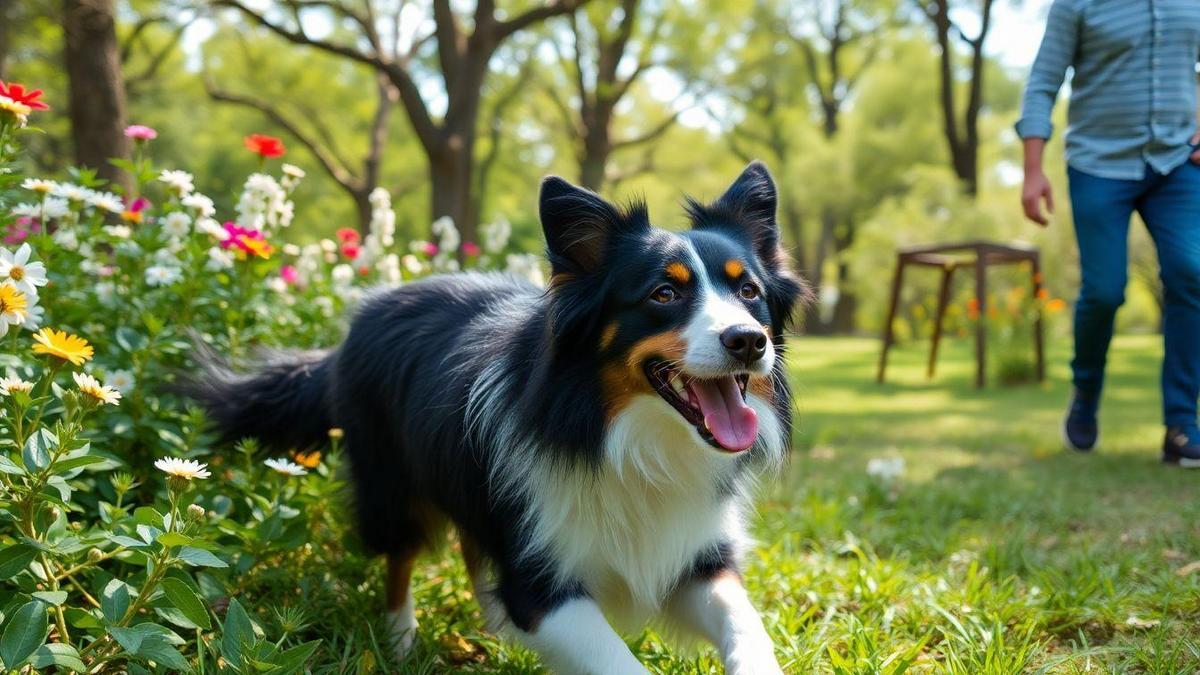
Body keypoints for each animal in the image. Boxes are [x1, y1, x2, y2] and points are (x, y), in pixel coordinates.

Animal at [189, 159, 806, 667]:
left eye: (749, 291)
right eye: (663, 294)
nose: (748, 341)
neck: (622, 435)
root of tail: (363, 313)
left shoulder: (698, 553)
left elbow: (749, 629)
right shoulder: (539, 575)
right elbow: (609, 655)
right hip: (390, 481)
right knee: (401, 558)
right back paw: (401, 641)